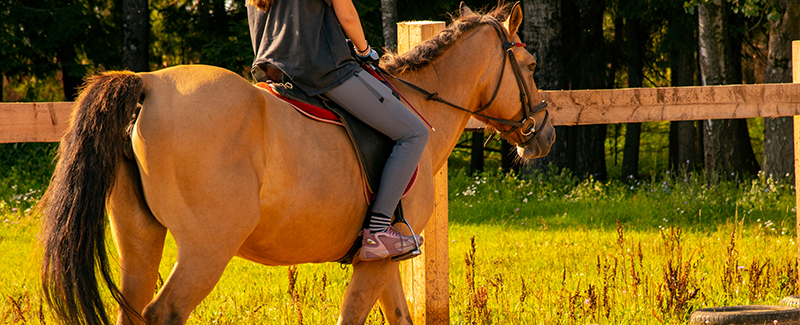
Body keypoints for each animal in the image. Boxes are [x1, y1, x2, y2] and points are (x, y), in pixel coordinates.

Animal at [40, 3, 552, 324]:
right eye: (531, 66)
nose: (544, 134)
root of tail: (148, 83)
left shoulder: (386, 257)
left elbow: (399, 316)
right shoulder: (380, 258)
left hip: (139, 236)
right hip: (208, 248)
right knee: (164, 312)